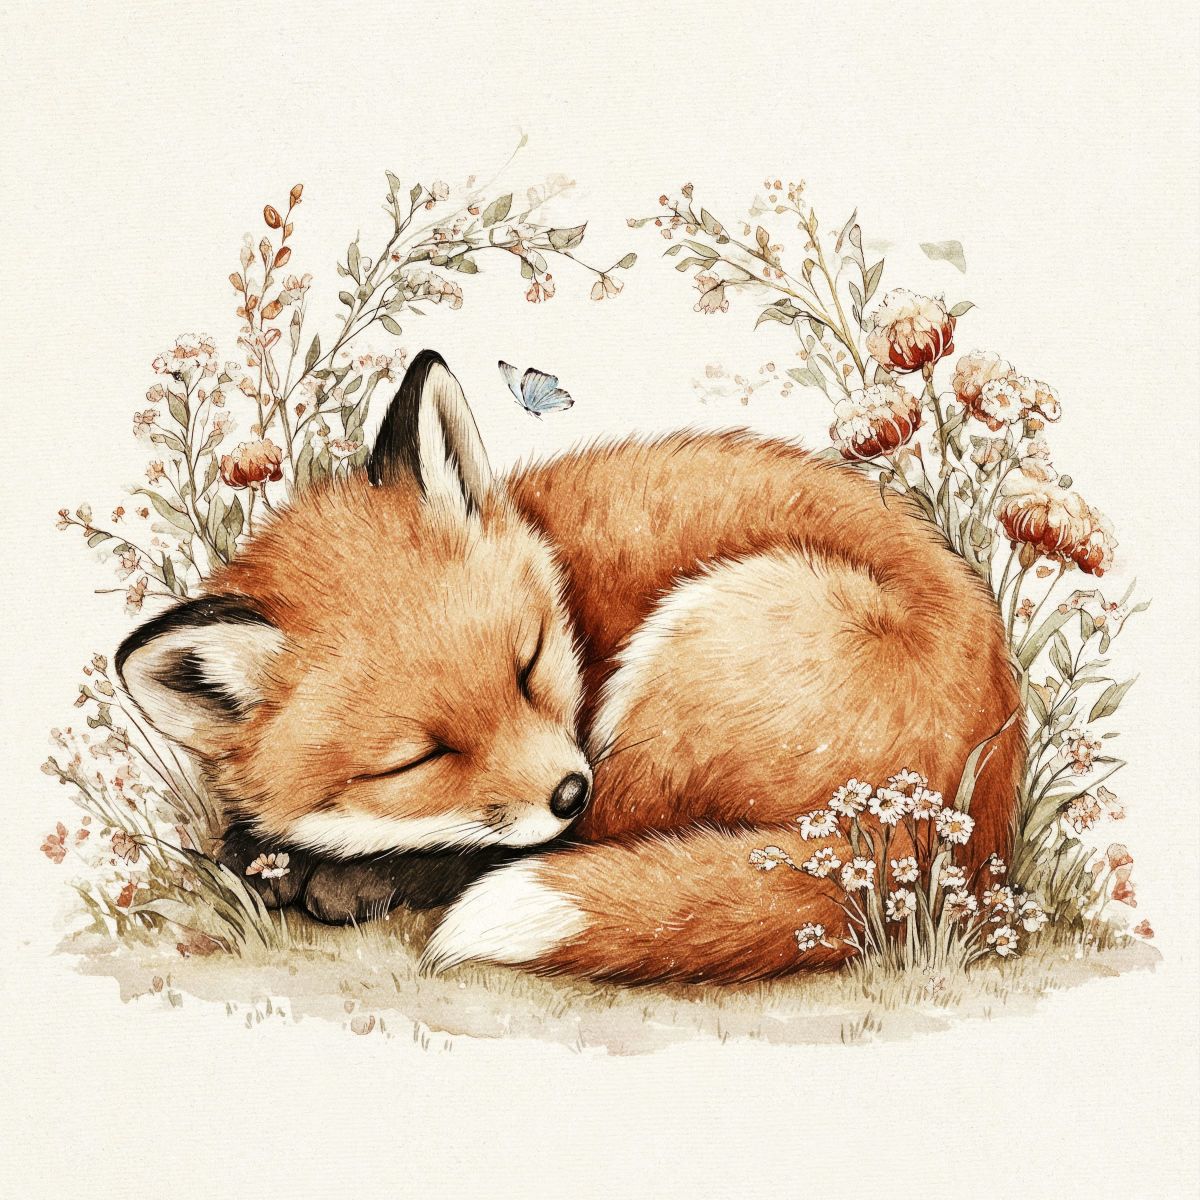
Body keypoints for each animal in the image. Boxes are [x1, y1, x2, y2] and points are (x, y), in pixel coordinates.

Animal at [115, 349, 1023, 985]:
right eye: (419, 759)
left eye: (528, 665)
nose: (565, 790)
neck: (561, 562)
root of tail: (935, 832)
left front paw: (331, 872)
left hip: (678, 673)